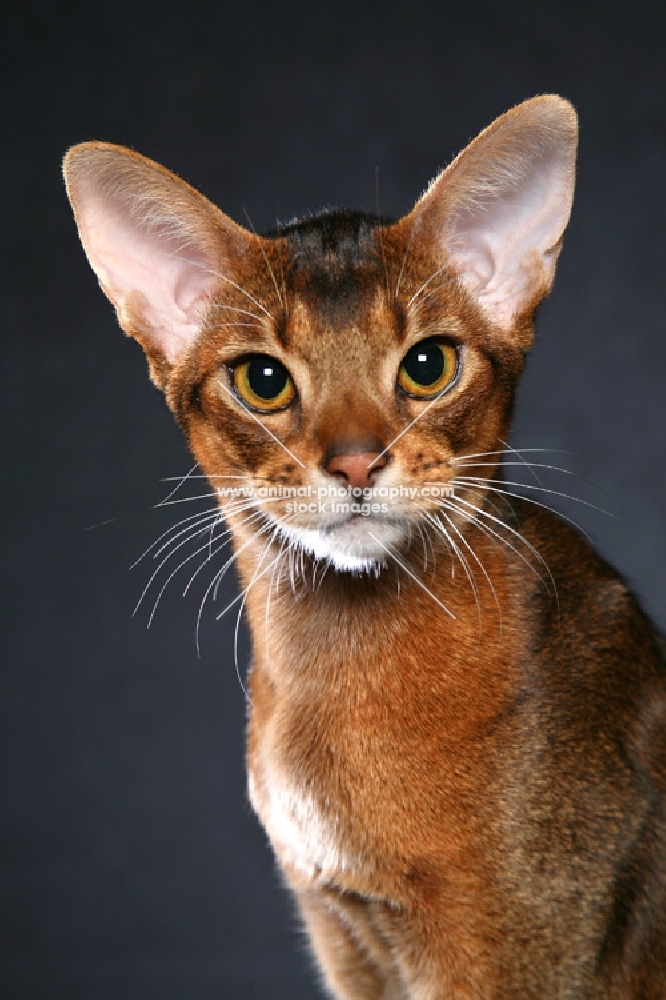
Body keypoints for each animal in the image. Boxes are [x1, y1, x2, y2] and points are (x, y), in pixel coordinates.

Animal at [63, 95, 664, 1000]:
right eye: (263, 380)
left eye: (428, 365)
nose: (354, 462)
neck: (337, 684)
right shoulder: (346, 937)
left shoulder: (515, 961)